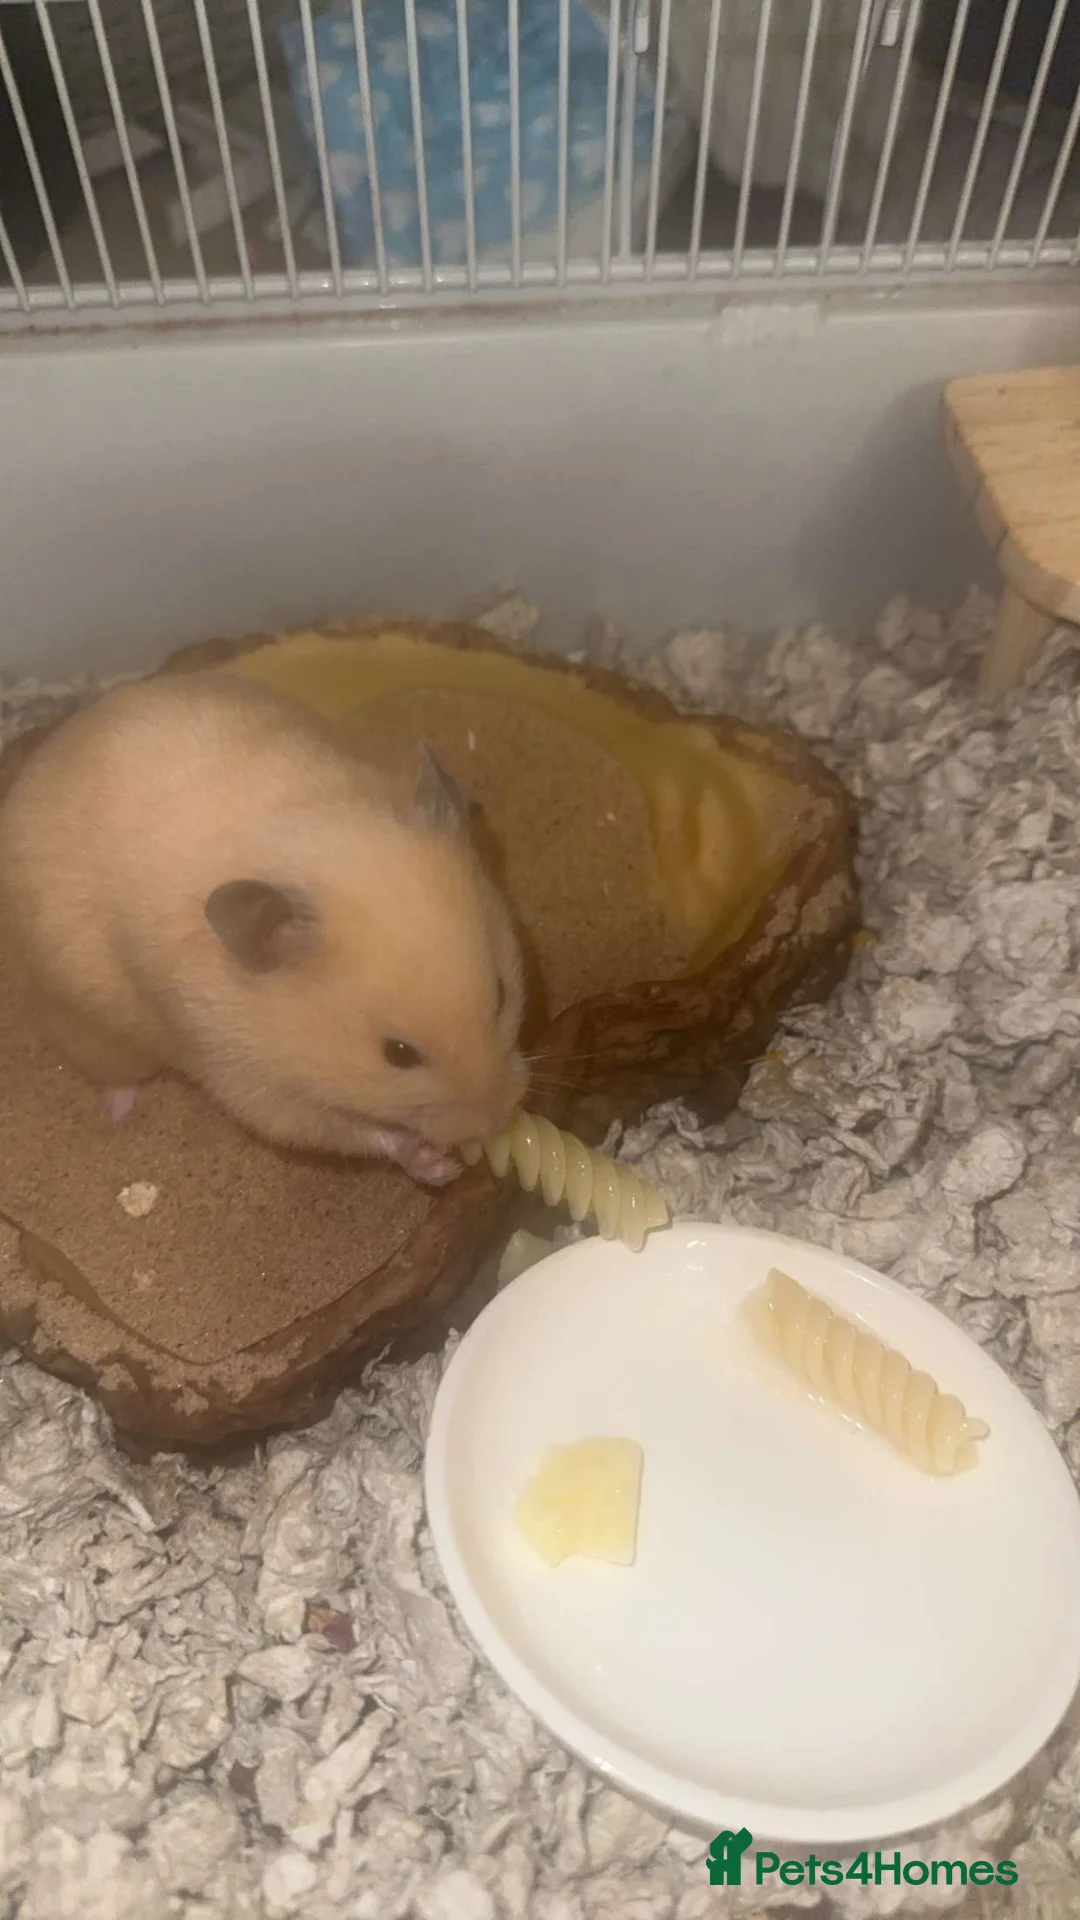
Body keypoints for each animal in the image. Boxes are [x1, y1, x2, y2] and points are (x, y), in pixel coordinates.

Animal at [0, 670, 527, 1186]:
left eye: (502, 994)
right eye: (398, 1054)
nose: (496, 1120)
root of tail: (53, 743)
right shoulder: (256, 1083)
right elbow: (353, 1130)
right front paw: (438, 1166)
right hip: (82, 1020)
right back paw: (119, 1111)